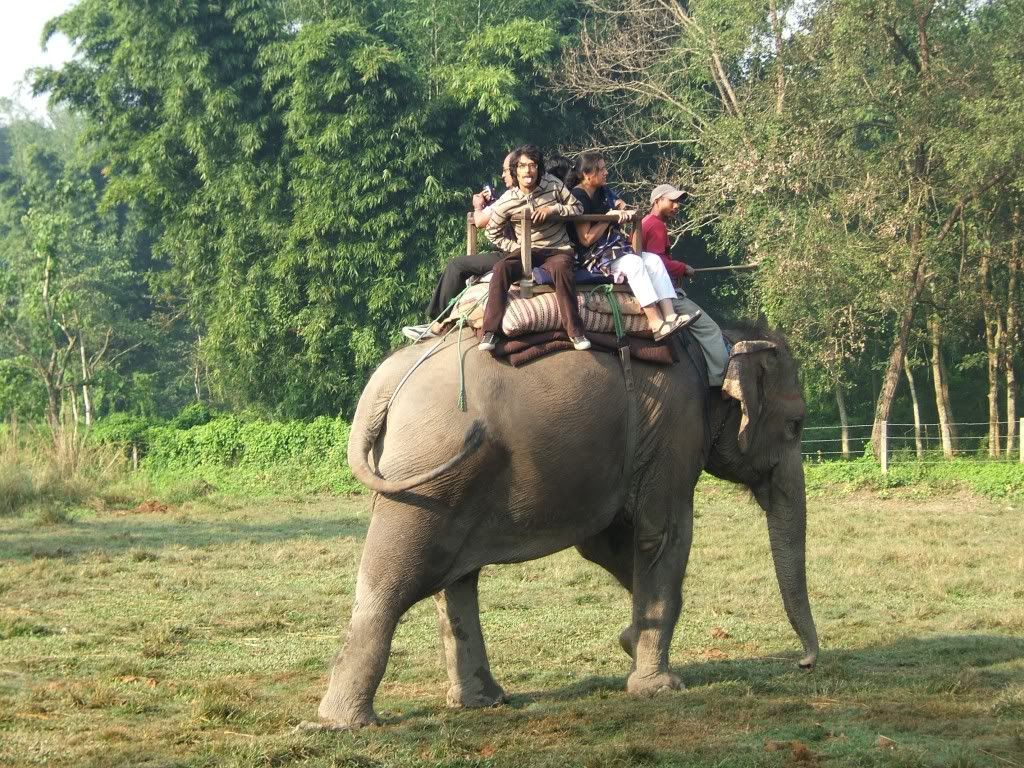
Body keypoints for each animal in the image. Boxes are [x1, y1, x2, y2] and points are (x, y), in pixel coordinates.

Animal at [314, 326, 818, 730]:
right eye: (796, 425)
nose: (804, 664)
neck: (718, 341)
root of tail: (385, 382)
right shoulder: (675, 433)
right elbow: (661, 535)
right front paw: (660, 687)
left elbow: (605, 545)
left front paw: (630, 642)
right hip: (428, 477)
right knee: (394, 584)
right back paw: (346, 722)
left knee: (455, 583)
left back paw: (482, 702)